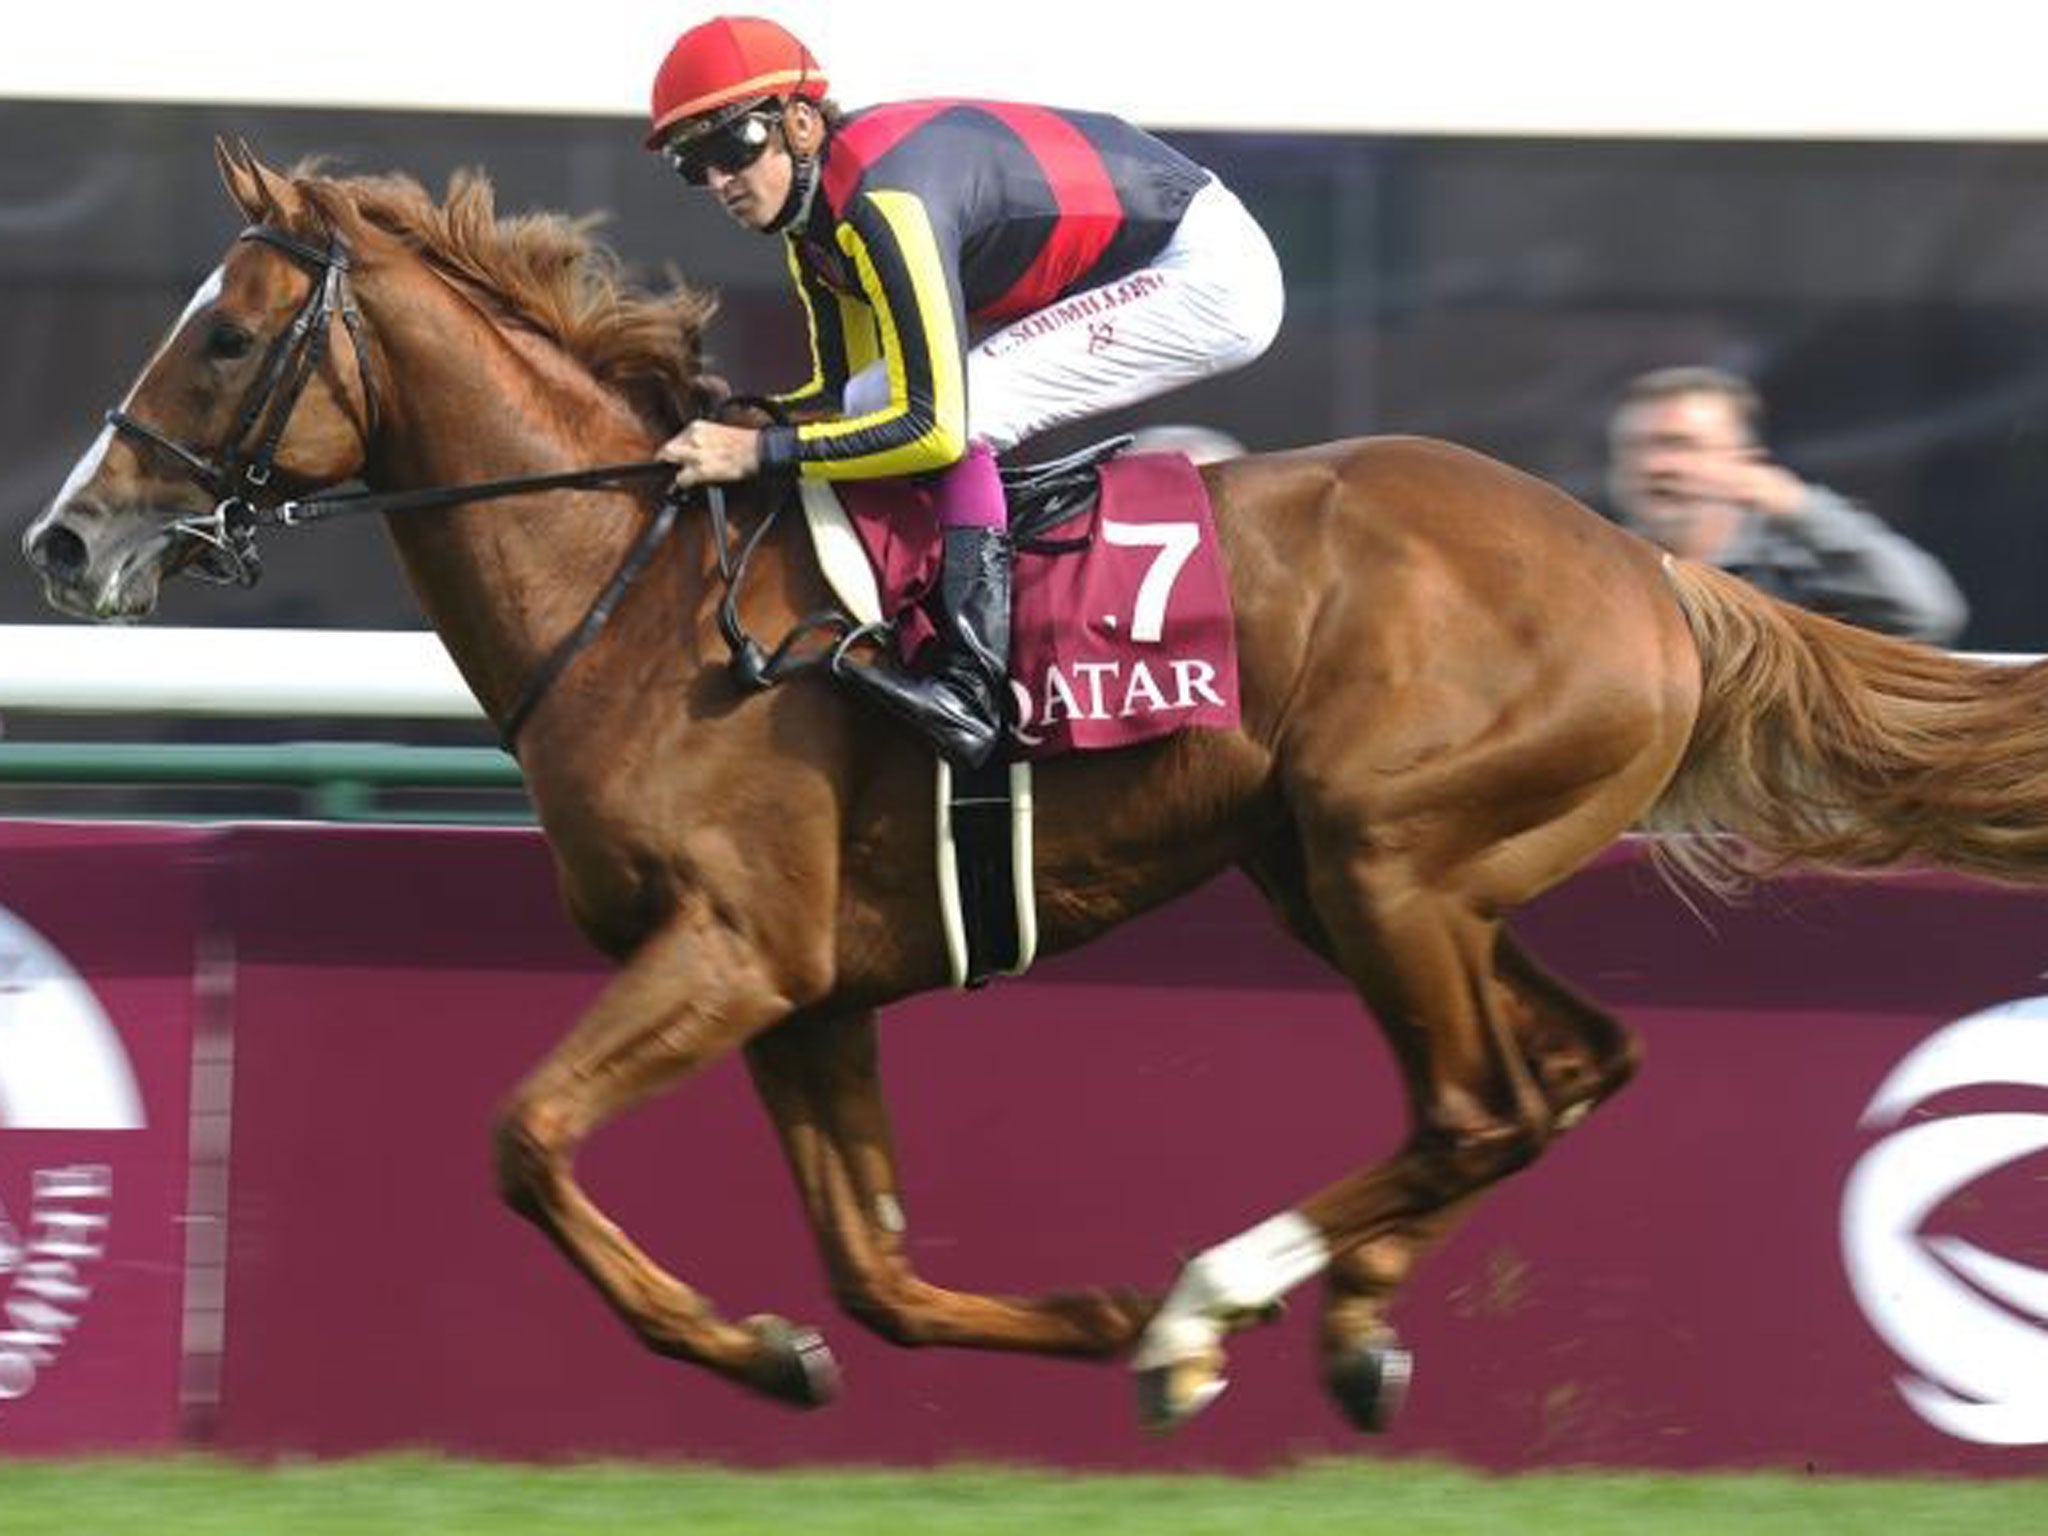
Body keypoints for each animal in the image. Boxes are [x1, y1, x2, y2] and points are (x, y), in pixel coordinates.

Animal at [24, 144, 2048, 1433]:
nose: (66, 538)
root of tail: (1652, 568)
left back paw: (1223, 1294)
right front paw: (932, 1336)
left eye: (222, 337)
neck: (636, 589)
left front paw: (1060, 1327)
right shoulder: (808, 997)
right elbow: (874, 1273)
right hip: (1372, 874)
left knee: (1482, 1099)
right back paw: (1336, 1321)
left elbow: (526, 1140)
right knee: (1564, 1073)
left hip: (1388, 857)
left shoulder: (732, 954)